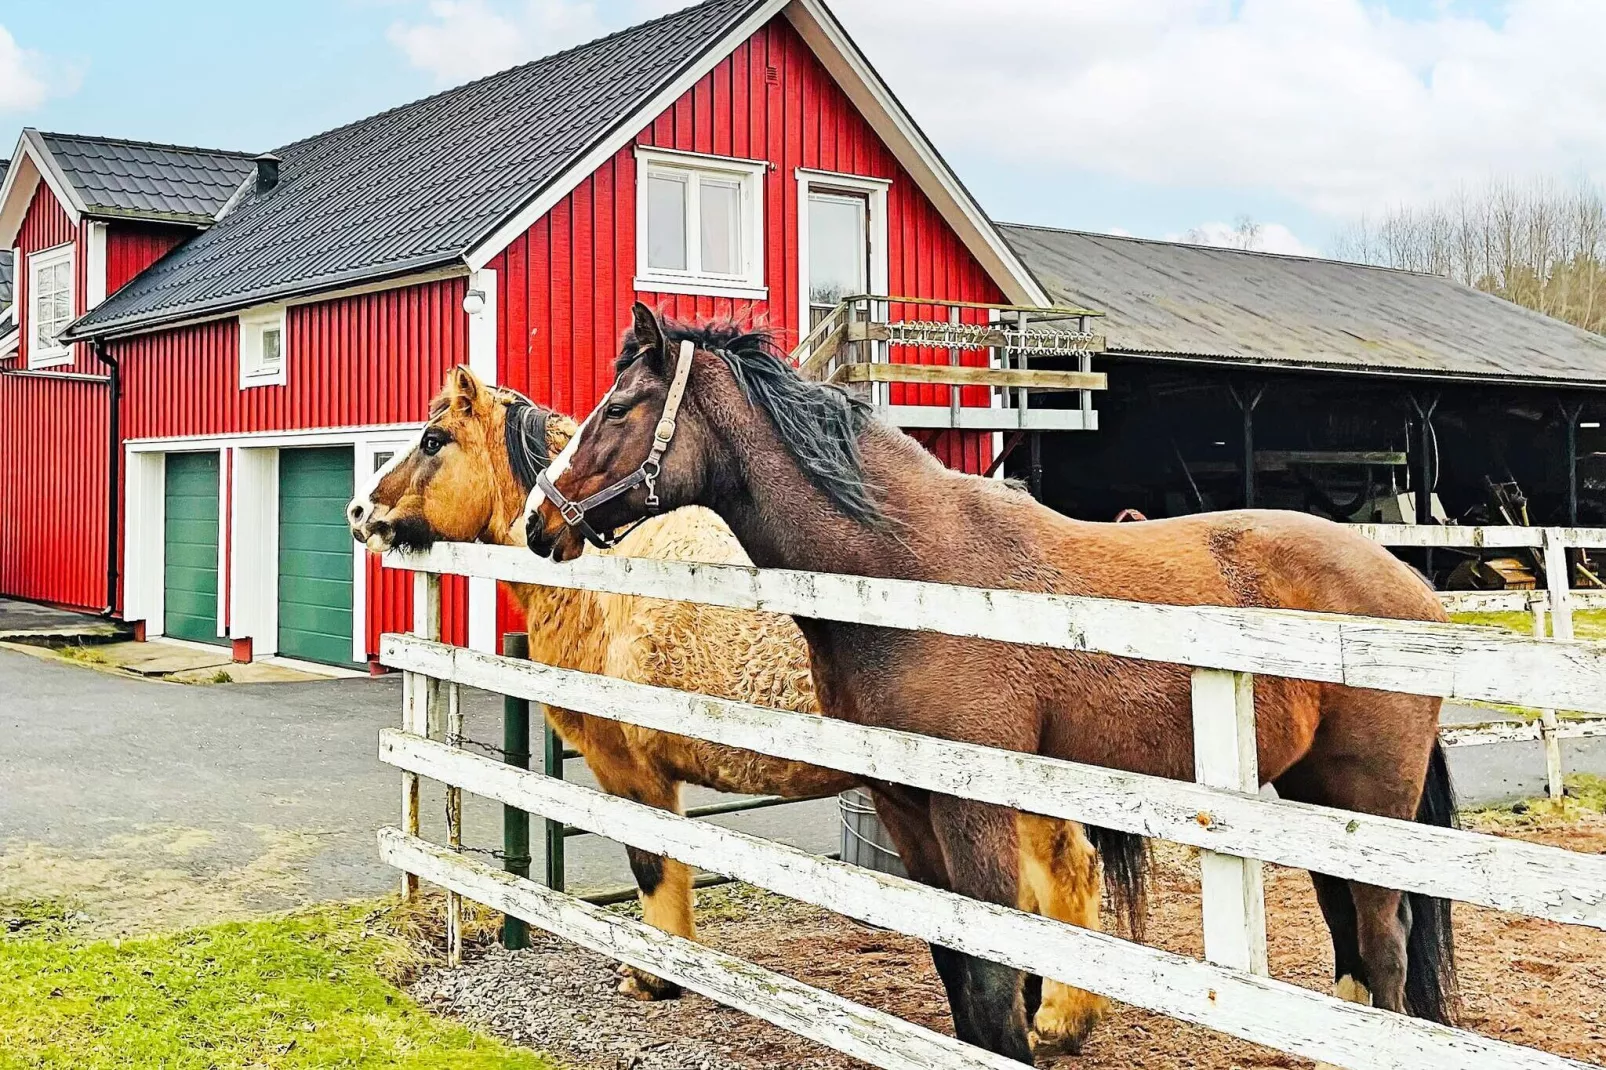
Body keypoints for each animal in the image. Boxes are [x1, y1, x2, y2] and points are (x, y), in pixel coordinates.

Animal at [526, 303, 1458, 1060]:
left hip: (1369, 799)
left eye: (618, 409)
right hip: (1312, 797)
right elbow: (956, 962)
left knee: (1385, 939)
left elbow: (991, 975)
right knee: (1352, 935)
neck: (911, 572)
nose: (539, 522)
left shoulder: (971, 808)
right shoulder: (905, 806)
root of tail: (1413, 588)